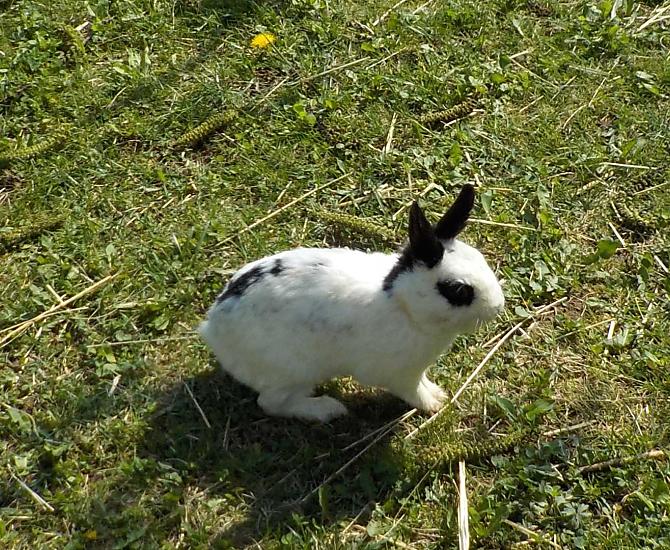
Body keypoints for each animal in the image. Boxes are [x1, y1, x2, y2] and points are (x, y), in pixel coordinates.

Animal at [199, 184, 505, 422]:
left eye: (481, 259)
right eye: (458, 290)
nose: (498, 306)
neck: (403, 306)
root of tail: (213, 328)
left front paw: (438, 393)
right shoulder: (400, 375)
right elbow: (414, 392)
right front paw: (435, 404)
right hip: (293, 373)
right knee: (271, 403)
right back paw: (328, 409)